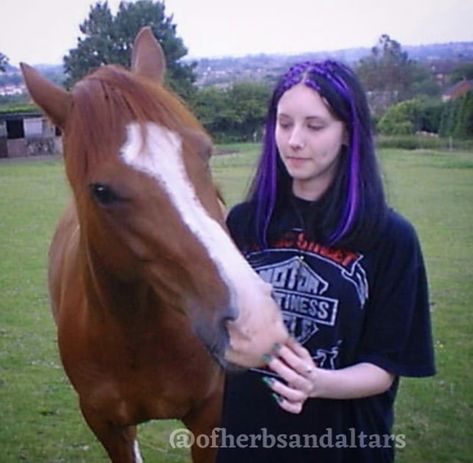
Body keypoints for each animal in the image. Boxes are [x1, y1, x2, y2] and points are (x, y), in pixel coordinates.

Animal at [20, 29, 288, 463]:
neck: (138, 334)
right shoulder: (106, 424)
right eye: (101, 191)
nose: (253, 323)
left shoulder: (209, 418)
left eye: (205, 152)